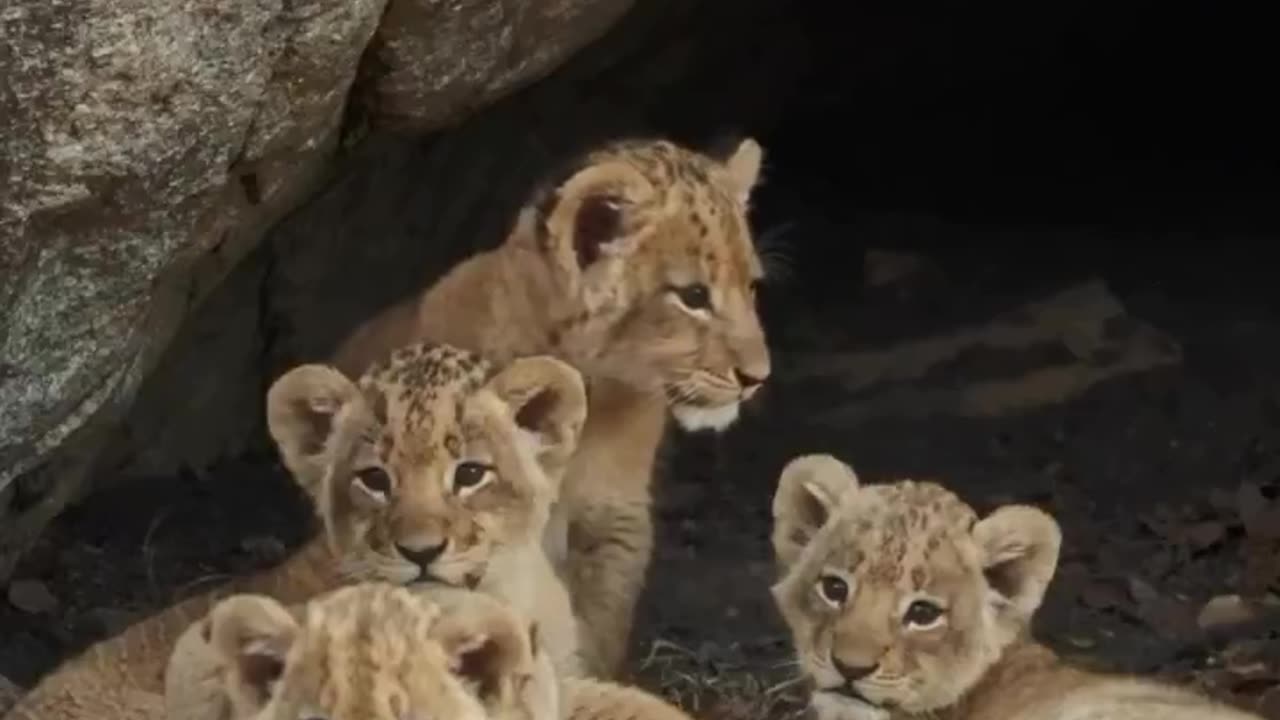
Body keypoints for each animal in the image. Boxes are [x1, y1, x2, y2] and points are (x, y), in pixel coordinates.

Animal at [332, 137, 773, 676]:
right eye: (693, 296)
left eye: (751, 286)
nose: (757, 378)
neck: (590, 391)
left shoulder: (611, 524)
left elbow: (598, 630)